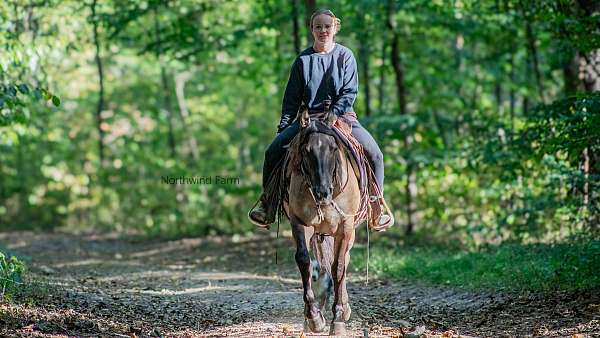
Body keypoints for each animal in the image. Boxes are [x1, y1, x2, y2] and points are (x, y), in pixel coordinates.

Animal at [282, 107, 358, 334]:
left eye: (333, 148)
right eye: (306, 150)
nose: (323, 192)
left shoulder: (345, 227)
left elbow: (339, 266)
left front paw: (338, 318)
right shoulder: (300, 222)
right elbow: (303, 260)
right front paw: (314, 317)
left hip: (349, 233)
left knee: (344, 260)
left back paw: (345, 307)